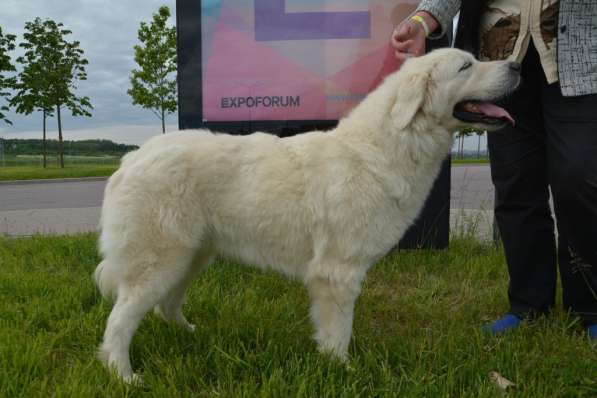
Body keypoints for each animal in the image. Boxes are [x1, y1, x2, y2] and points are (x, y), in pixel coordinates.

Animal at [93, 48, 516, 380]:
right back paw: (124, 376)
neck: (385, 147)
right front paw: (342, 371)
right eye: (466, 65)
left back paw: (190, 335)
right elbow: (338, 332)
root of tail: (132, 159)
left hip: (191, 257)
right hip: (160, 262)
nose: (515, 65)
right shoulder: (338, 272)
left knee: (166, 306)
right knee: (119, 322)